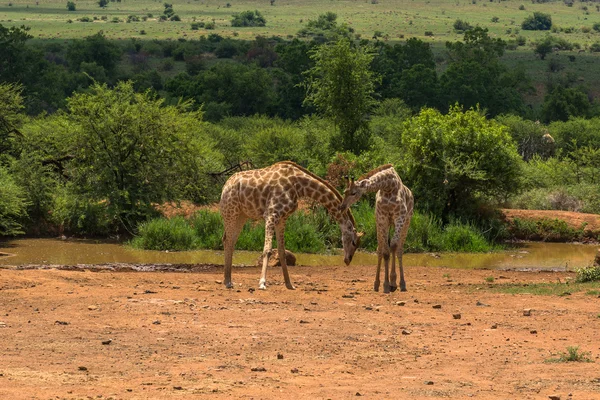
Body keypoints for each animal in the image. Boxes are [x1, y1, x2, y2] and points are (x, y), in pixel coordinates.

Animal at [219, 161, 364, 290]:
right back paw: (227, 282)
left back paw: (228, 280)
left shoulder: (282, 218)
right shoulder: (271, 214)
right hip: (231, 211)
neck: (299, 186)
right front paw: (262, 283)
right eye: (353, 242)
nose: (348, 260)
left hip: (241, 215)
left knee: (229, 240)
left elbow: (282, 252)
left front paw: (289, 284)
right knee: (228, 240)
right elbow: (267, 249)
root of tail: (225, 185)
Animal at [338, 164, 412, 292]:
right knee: (380, 249)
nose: (342, 207)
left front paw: (393, 282)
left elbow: (393, 246)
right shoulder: (382, 218)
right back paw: (377, 284)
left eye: (353, 193)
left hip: (406, 222)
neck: (388, 187)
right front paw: (386, 285)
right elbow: (385, 252)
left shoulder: (400, 217)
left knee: (399, 249)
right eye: (345, 192)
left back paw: (401, 284)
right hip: (381, 223)